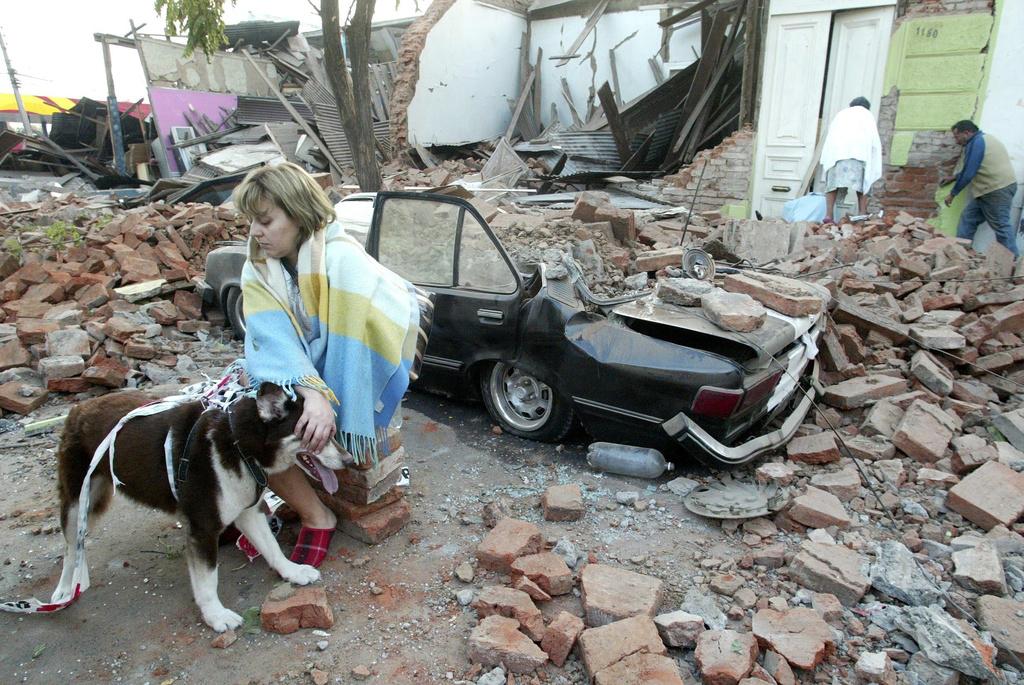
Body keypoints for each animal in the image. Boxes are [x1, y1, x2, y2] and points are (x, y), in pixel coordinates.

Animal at [52, 382, 348, 634]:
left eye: (333, 432)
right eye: (318, 436)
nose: (348, 460)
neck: (237, 442)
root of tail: (79, 408)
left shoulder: (248, 513)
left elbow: (272, 548)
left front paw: (292, 571)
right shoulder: (202, 529)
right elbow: (207, 582)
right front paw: (216, 615)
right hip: (77, 502)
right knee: (70, 547)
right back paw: (66, 589)